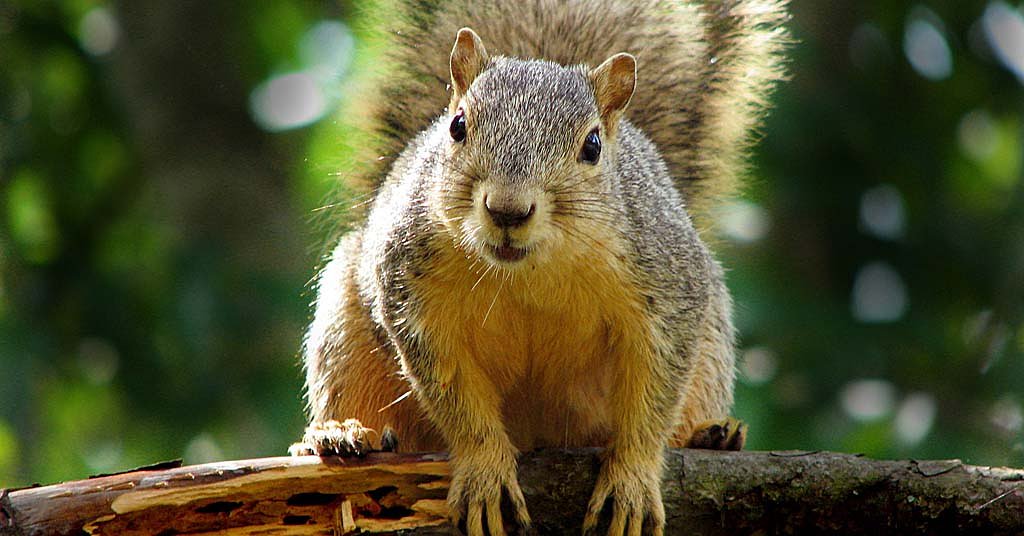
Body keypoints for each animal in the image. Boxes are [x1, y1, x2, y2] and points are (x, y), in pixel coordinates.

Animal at [289, 1, 789, 534]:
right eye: (457, 126)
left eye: (592, 146)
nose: (508, 210)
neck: (529, 272)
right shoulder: (411, 290)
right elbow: (455, 395)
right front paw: (486, 472)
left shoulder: (668, 285)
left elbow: (654, 394)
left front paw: (631, 479)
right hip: (344, 326)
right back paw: (338, 434)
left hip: (710, 338)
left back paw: (712, 434)